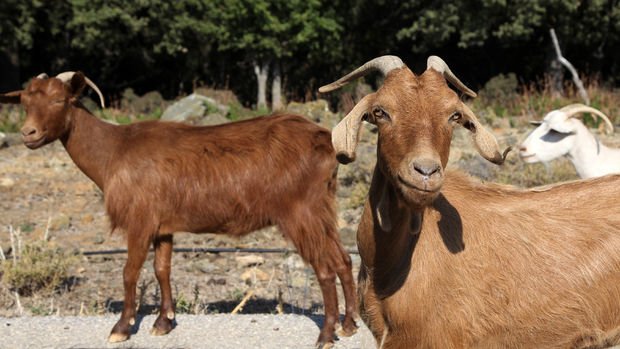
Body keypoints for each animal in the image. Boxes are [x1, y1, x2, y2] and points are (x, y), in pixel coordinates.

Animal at [1, 71, 358, 346]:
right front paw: (163, 322)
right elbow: (162, 269)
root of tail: (326, 141)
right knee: (343, 260)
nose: (28, 133)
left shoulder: (140, 220)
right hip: (322, 209)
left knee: (324, 268)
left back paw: (326, 335)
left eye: (60, 101)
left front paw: (121, 328)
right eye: (25, 103)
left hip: (300, 212)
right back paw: (349, 325)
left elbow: (129, 271)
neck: (113, 151)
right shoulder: (163, 226)